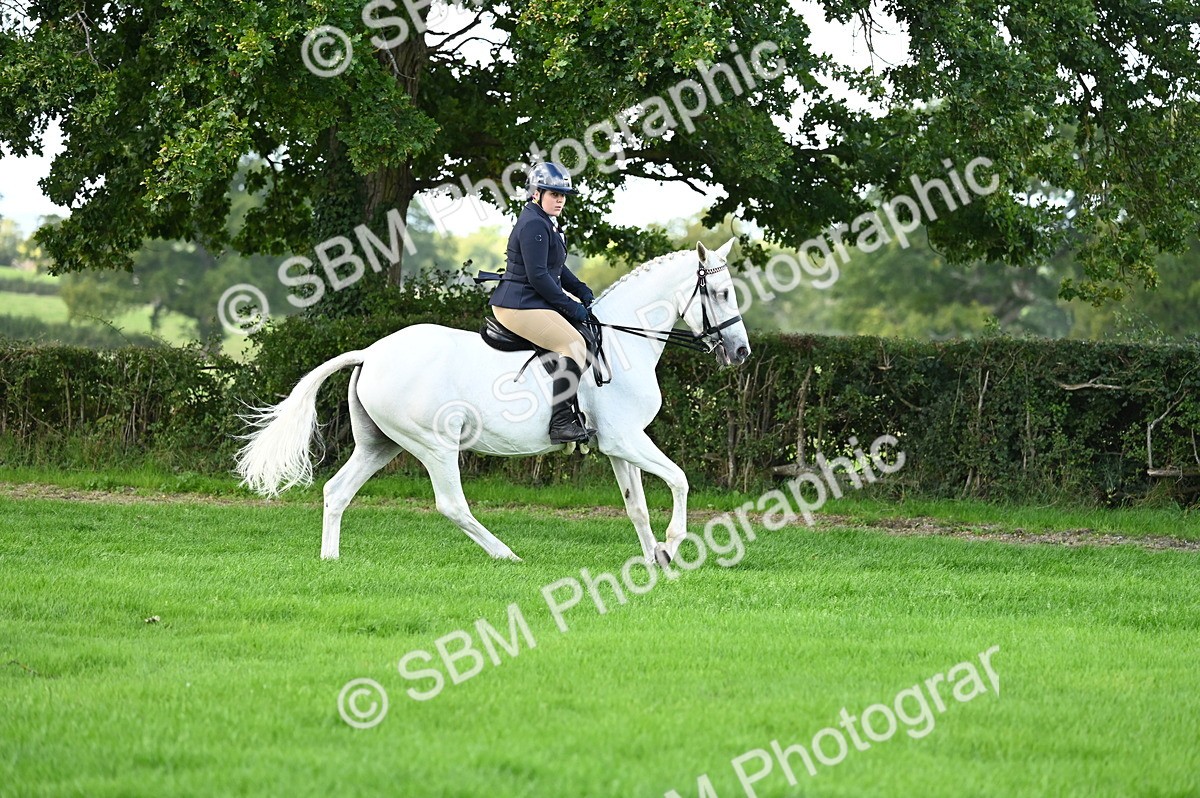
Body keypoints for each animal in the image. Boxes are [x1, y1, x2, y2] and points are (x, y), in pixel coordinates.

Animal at [235, 237, 752, 565]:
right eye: (721, 293)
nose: (741, 352)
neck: (624, 341)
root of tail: (372, 352)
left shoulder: (619, 445)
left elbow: (637, 507)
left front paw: (654, 558)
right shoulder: (626, 440)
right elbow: (679, 480)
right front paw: (674, 545)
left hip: (380, 444)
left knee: (337, 491)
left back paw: (331, 560)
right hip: (435, 445)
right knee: (451, 505)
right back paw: (507, 555)